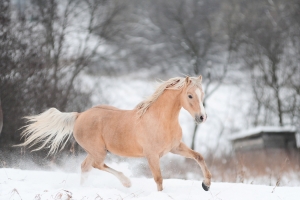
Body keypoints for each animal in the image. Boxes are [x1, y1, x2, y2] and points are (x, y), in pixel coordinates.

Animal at [18, 76, 211, 191]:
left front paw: (206, 184)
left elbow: (199, 156)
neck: (160, 120)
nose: (202, 117)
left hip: (94, 151)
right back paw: (126, 182)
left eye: (202, 94)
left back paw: (83, 189)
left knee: (85, 167)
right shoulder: (152, 155)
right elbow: (159, 179)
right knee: (97, 165)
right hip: (99, 151)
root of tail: (79, 115)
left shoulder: (175, 147)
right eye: (190, 95)